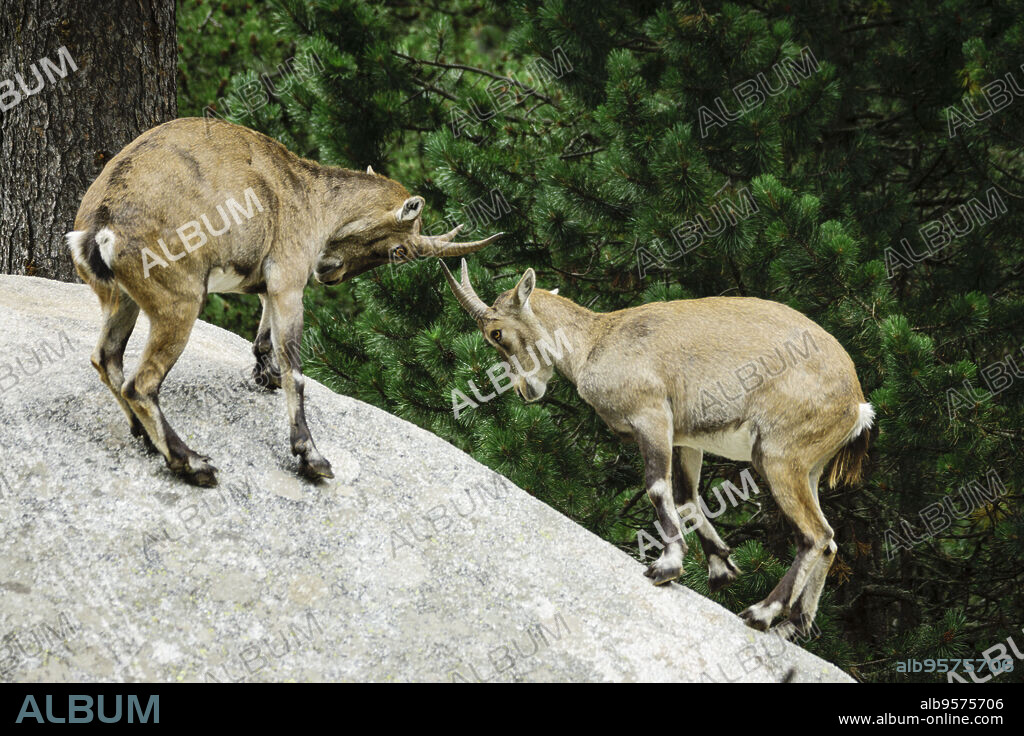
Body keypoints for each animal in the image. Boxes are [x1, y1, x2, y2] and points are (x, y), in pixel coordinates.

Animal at [68, 117, 500, 487]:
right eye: (400, 252)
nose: (329, 273)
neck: (309, 193)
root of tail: (101, 226)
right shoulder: (289, 282)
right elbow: (297, 369)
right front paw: (312, 458)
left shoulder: (269, 282)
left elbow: (265, 335)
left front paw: (266, 373)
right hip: (178, 300)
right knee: (141, 384)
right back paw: (193, 463)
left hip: (121, 300)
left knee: (106, 359)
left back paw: (143, 436)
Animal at [441, 259, 873, 637]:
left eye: (496, 334)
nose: (524, 391)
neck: (595, 342)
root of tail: (856, 403)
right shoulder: (685, 439)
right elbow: (686, 498)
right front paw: (721, 566)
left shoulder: (651, 417)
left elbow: (656, 488)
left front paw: (666, 567)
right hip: (809, 467)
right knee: (830, 541)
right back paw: (791, 626)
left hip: (779, 456)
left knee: (814, 535)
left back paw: (761, 613)